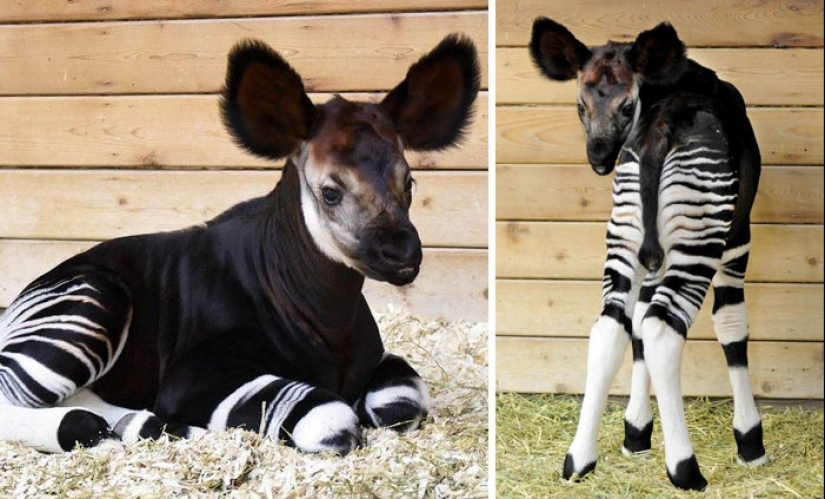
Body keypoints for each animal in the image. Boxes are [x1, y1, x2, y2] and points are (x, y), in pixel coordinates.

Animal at [0, 34, 480, 458]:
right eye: (331, 192)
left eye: (409, 183)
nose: (403, 255)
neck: (329, 316)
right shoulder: (193, 376)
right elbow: (327, 414)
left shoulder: (377, 362)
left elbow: (401, 401)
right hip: (95, 301)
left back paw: (144, 426)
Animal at [528, 20, 768, 492]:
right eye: (580, 105)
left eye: (626, 106)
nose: (600, 159)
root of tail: (662, 130)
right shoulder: (736, 238)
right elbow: (732, 327)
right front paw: (750, 441)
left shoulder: (650, 251)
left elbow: (635, 322)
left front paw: (635, 432)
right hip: (700, 238)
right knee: (662, 330)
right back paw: (685, 469)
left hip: (624, 236)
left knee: (612, 325)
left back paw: (578, 460)